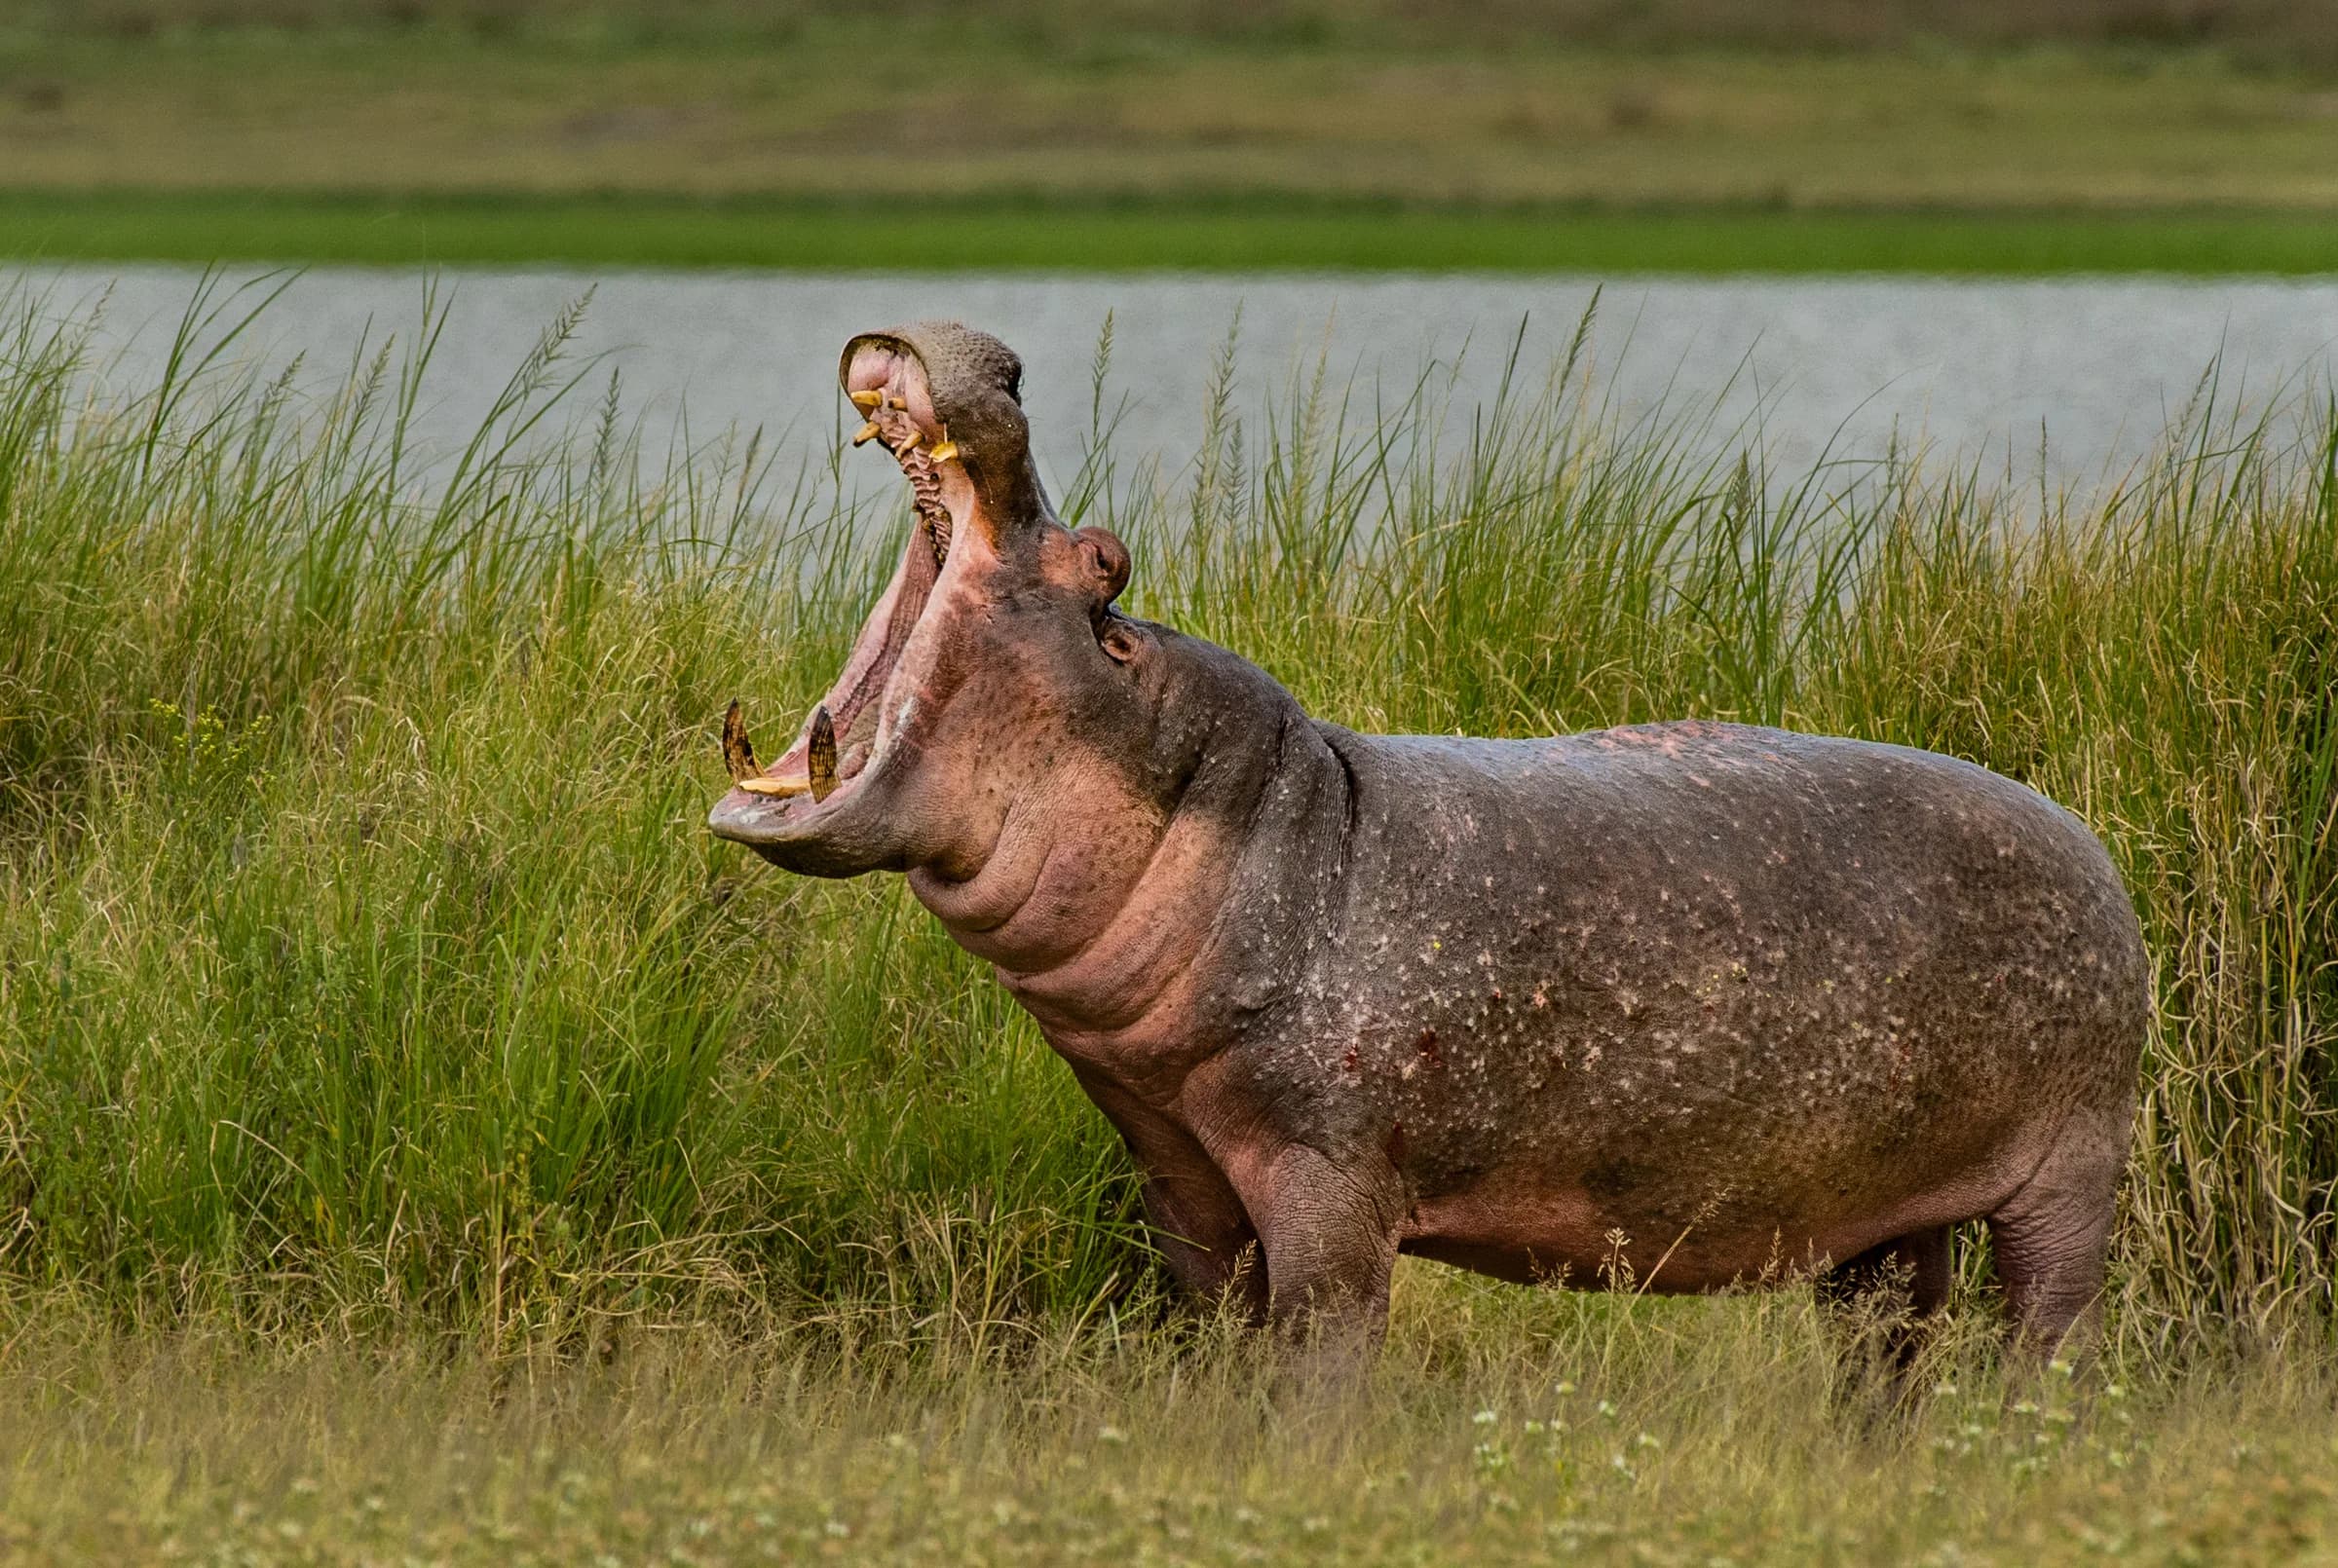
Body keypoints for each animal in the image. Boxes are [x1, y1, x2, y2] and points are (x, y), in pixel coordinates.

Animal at [709, 322, 2150, 1358]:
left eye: (1104, 567)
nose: (1002, 359)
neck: (1273, 827)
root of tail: (2097, 854)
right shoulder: (1180, 1179)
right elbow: (1216, 1343)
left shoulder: (1331, 1177)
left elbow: (1324, 1350)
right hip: (1881, 1208)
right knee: (1884, 1350)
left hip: (2071, 1173)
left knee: (2049, 1336)